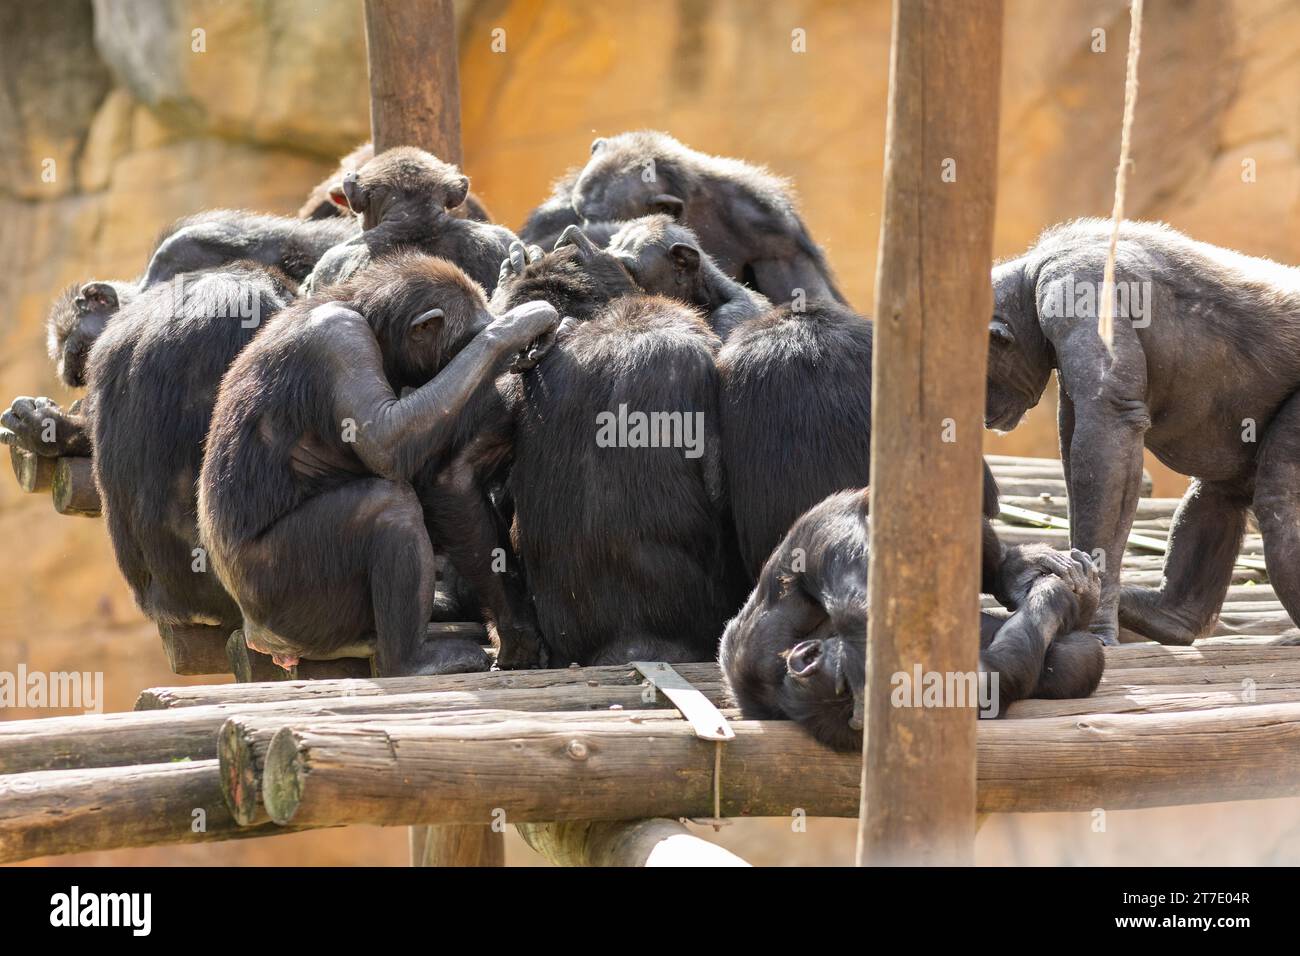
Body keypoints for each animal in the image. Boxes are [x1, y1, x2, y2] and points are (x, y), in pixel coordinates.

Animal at [197, 252, 558, 676]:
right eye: (469, 338)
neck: (366, 317)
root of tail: (260, 637)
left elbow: (448, 474)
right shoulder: (341, 341)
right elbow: (385, 439)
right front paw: (516, 326)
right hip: (288, 598)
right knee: (387, 506)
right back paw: (412, 661)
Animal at [569, 131, 846, 306]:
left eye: (598, 218)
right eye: (580, 214)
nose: (585, 227)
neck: (689, 208)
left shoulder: (776, 237)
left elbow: (803, 297)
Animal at [986, 219, 1300, 645]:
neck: (1034, 276)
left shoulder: (1077, 290)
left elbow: (1108, 428)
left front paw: (1096, 611)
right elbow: (1078, 430)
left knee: (1281, 500)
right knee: (1220, 487)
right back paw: (1168, 616)